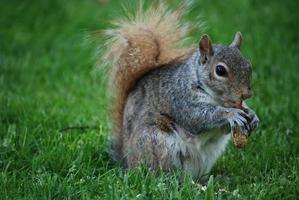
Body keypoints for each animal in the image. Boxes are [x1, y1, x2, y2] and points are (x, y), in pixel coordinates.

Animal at [102, 3, 258, 180]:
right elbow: (198, 117)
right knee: (163, 175)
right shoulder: (181, 98)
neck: (218, 98)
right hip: (157, 143)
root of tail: (128, 160)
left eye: (248, 64)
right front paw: (231, 114)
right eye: (220, 70)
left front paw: (253, 115)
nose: (247, 94)